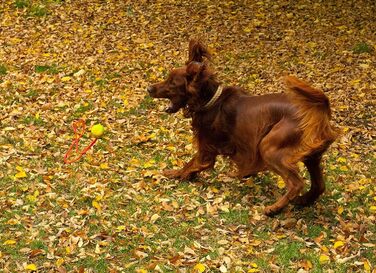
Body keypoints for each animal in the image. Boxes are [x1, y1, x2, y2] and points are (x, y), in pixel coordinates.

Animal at [148, 40, 338, 215]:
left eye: (172, 83)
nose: (149, 88)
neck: (210, 101)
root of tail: (319, 112)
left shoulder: (206, 147)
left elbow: (191, 163)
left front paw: (175, 173)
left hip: (269, 146)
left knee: (296, 183)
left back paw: (274, 209)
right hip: (312, 156)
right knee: (319, 185)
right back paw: (303, 201)